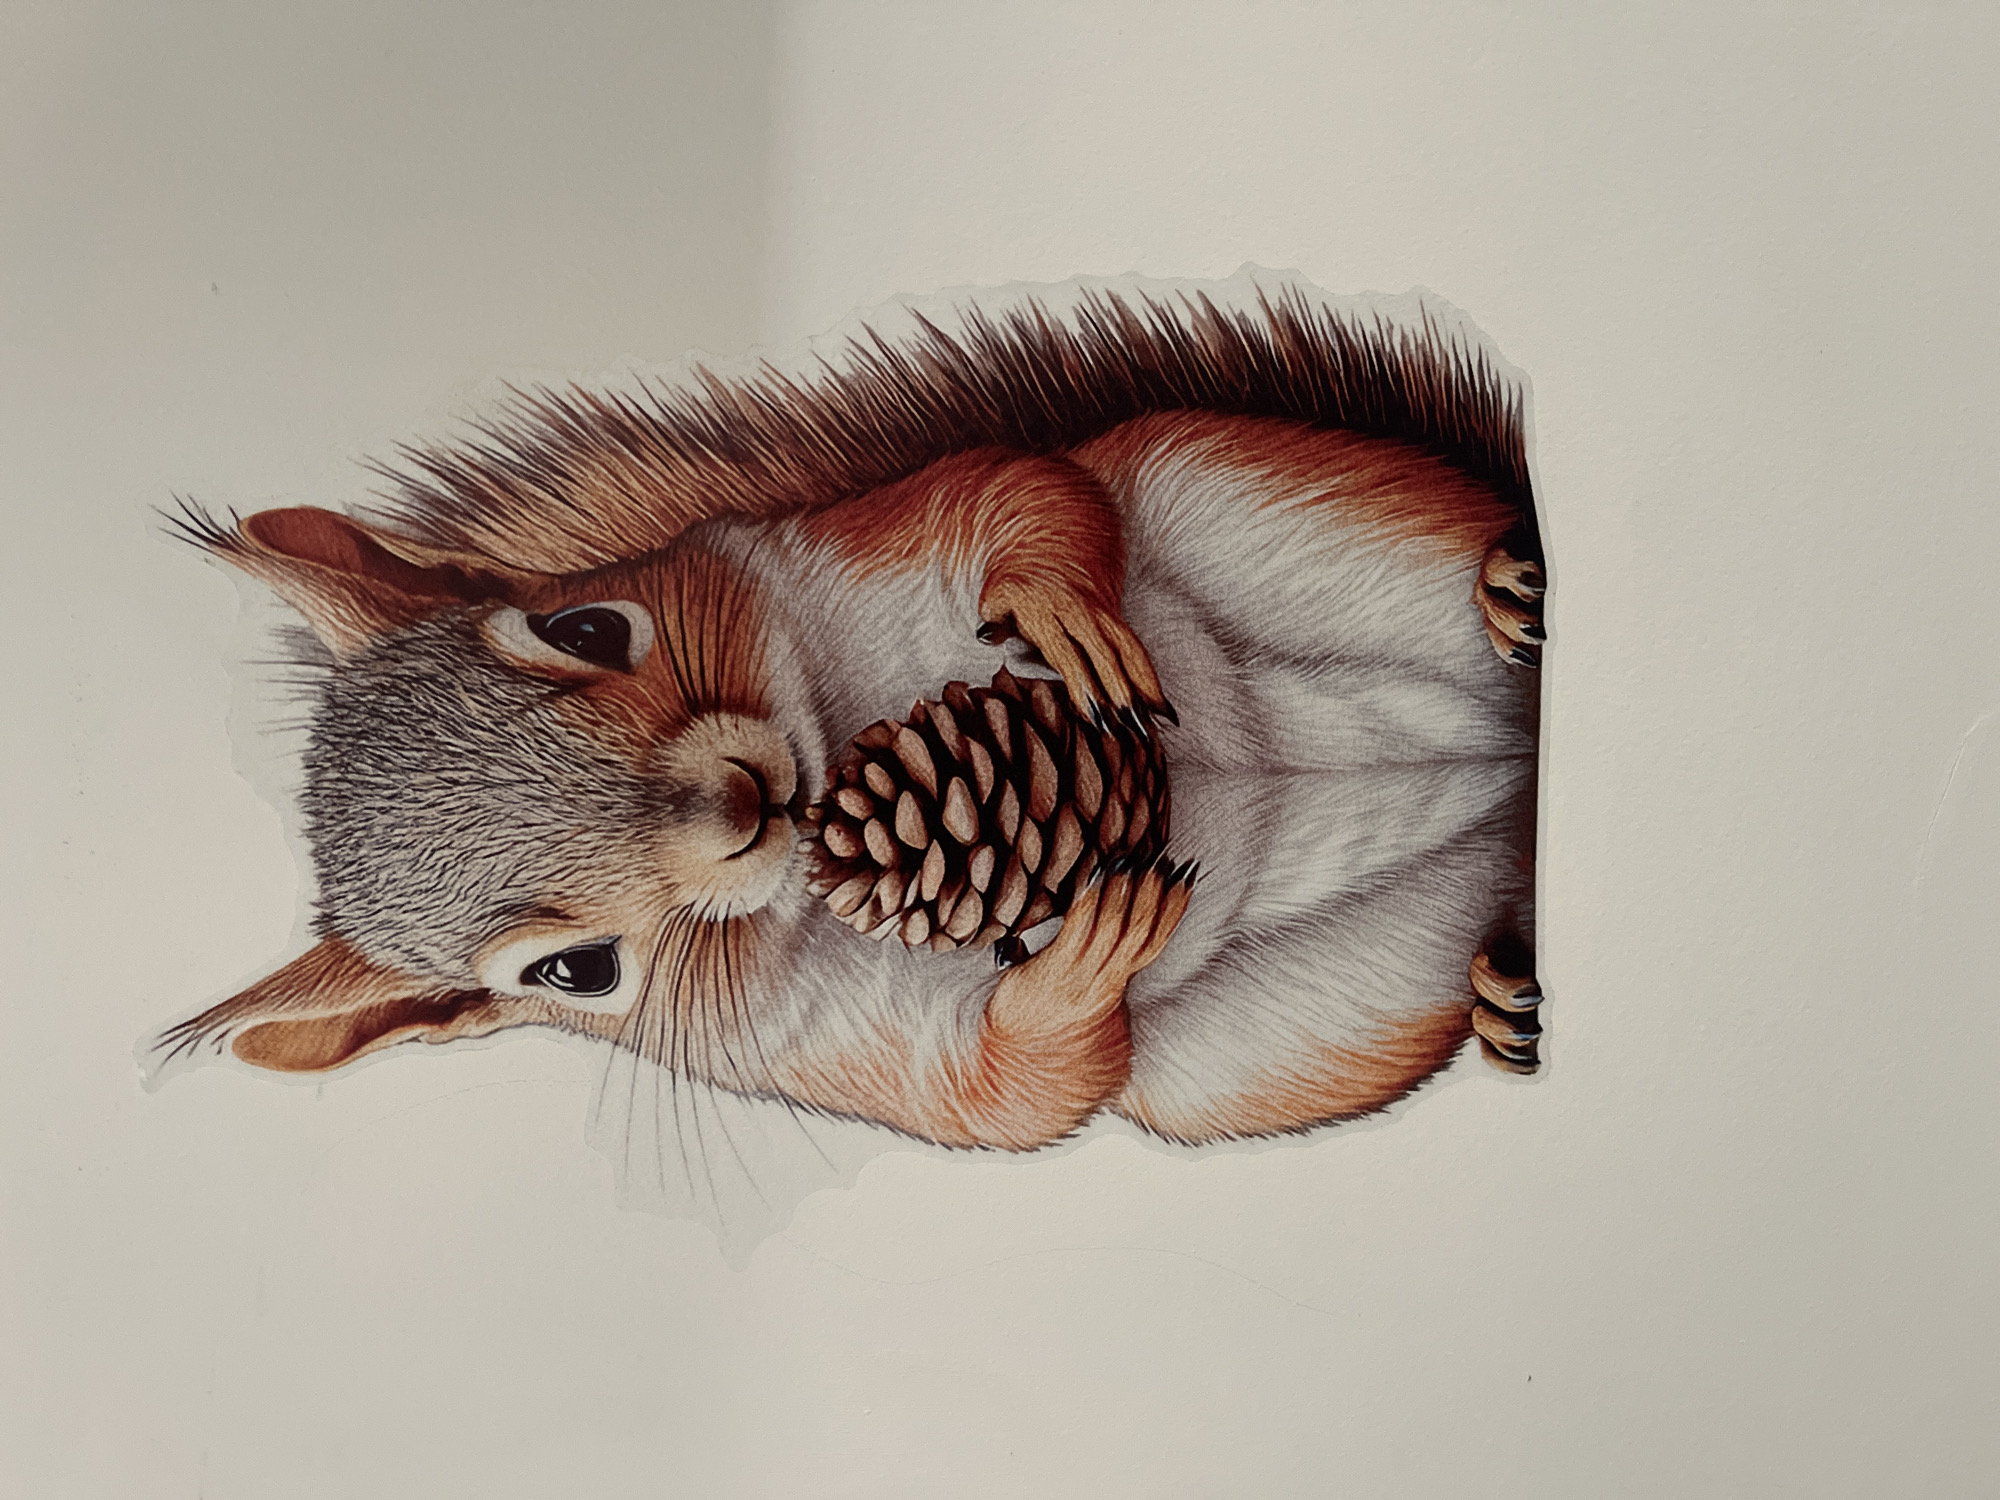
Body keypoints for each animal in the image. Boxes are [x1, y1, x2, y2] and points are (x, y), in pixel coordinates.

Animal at [152, 276, 1547, 1153]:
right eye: (571, 974)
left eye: (587, 626)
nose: (742, 804)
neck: (835, 768)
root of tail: (1497, 771)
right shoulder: (832, 1055)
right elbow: (1005, 1098)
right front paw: (1077, 972)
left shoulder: (870, 532)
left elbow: (1014, 490)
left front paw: (1054, 607)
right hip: (1306, 1026)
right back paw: (1500, 980)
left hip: (1276, 497)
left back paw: (1507, 583)